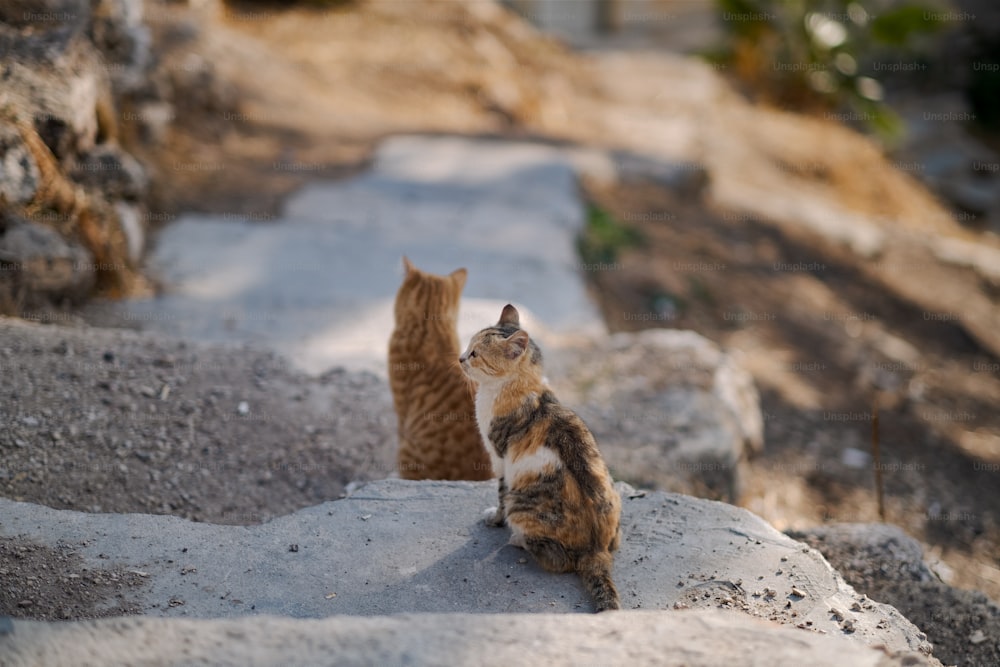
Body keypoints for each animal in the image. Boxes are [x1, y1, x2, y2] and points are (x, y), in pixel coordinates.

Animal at [462, 306, 624, 612]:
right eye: (467, 347)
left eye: (475, 353)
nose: (460, 358)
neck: (524, 386)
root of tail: (597, 549)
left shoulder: (499, 459)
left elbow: (499, 496)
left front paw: (494, 519)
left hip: (520, 503)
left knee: (559, 560)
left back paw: (518, 539)